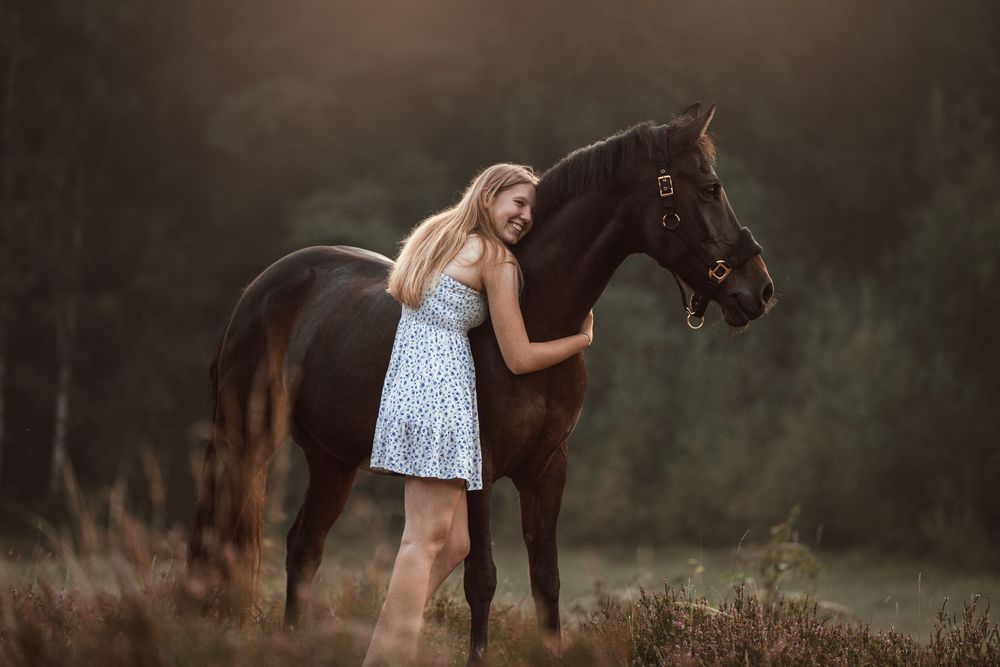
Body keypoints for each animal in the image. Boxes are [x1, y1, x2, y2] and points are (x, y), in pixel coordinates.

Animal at [186, 102, 773, 661]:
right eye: (711, 188)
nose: (761, 289)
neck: (533, 322)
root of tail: (262, 288)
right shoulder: (482, 470)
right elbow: (482, 581)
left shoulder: (547, 468)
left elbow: (546, 580)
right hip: (243, 443)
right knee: (223, 544)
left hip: (330, 460)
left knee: (303, 546)